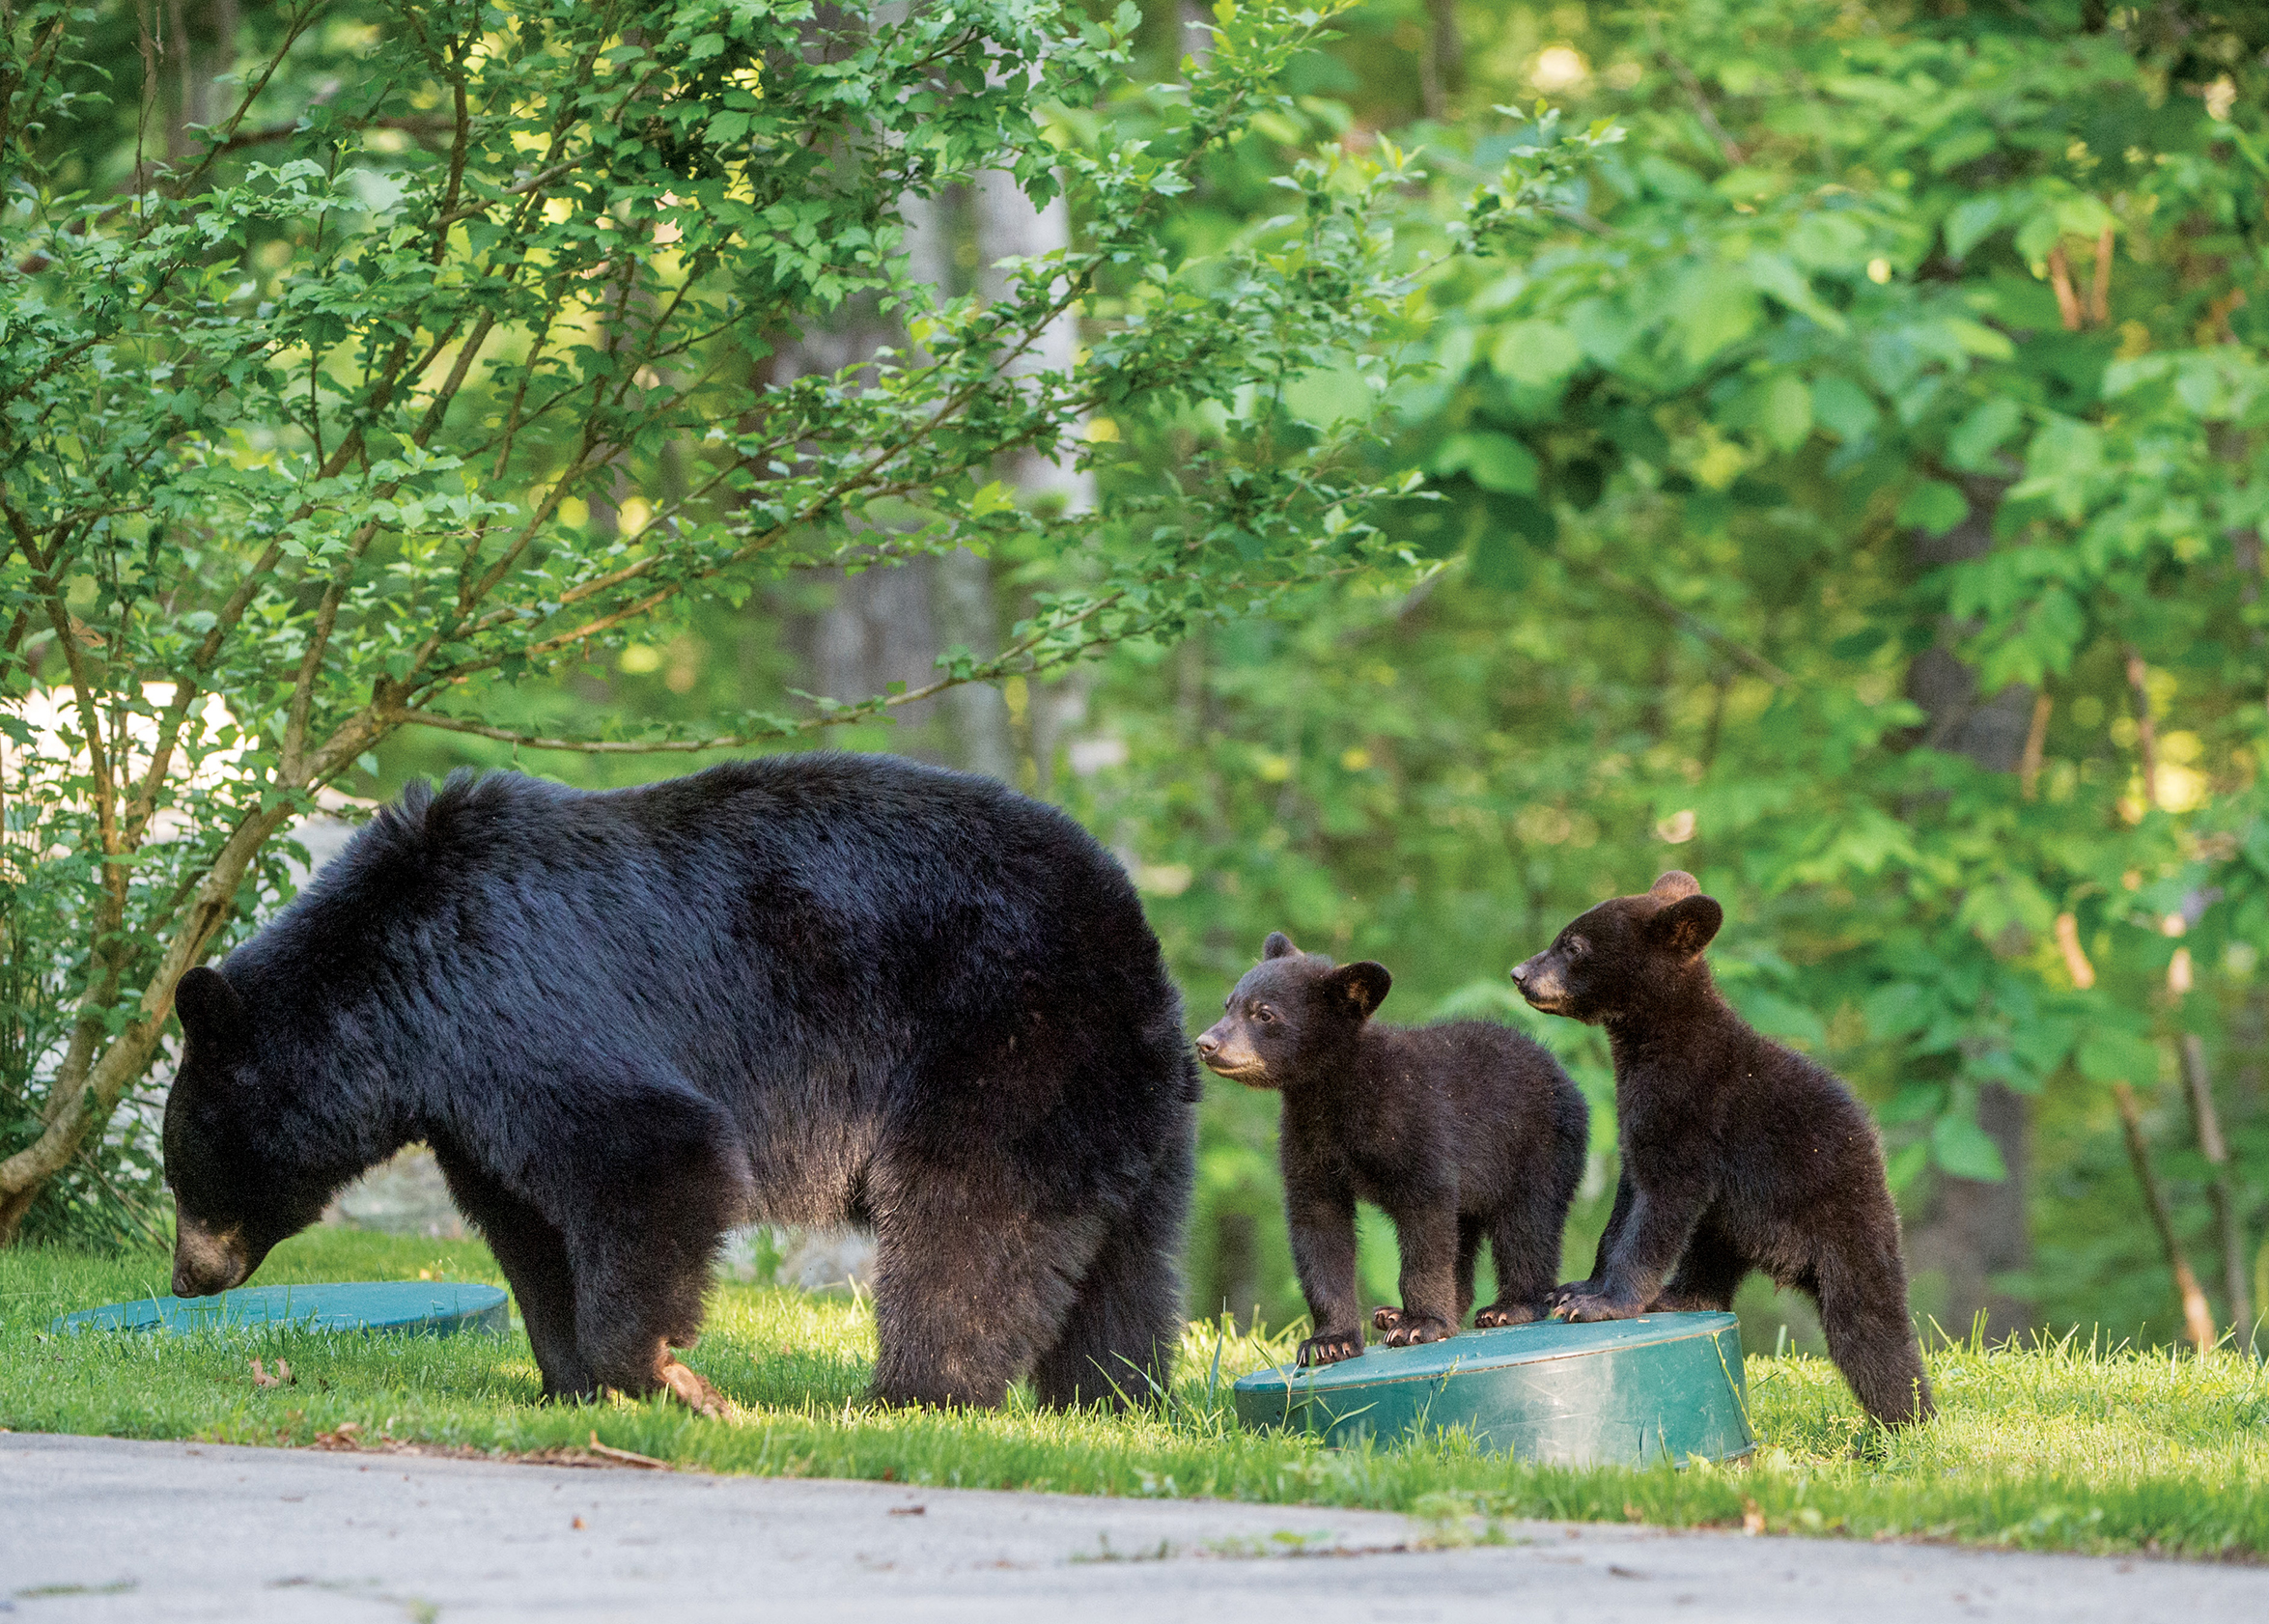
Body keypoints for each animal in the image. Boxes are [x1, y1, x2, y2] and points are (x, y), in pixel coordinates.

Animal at [165, 757, 1197, 1406]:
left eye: (185, 1172)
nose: (185, 1279)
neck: (395, 1005)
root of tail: (1134, 937)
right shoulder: (470, 1106)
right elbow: (528, 1223)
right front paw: (571, 1380)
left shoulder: (513, 994)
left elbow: (650, 1147)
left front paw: (660, 1372)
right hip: (1120, 1103)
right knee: (1121, 1262)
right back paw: (1111, 1396)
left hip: (1004, 1041)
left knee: (969, 1227)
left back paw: (918, 1393)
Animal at [1197, 934, 1587, 1360]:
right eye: (1229, 1004)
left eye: (1264, 1014)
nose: (1206, 1043)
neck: (1334, 1091)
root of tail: (1563, 1075)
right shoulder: (1307, 1142)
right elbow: (1319, 1232)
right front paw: (1329, 1341)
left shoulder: (1414, 1125)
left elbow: (1426, 1229)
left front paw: (1420, 1324)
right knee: (1466, 1235)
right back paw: (1407, 1312)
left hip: (1538, 1147)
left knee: (1527, 1225)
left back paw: (1510, 1306)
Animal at [1506, 871, 1933, 1424]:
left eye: (1572, 945)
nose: (1518, 974)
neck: (1657, 1043)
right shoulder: (1637, 1132)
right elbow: (1623, 1211)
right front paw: (1578, 1287)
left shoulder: (1692, 1119)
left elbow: (1660, 1213)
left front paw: (1603, 1304)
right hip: (1736, 1222)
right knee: (1711, 1262)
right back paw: (1677, 1297)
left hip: (1845, 1222)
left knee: (1867, 1327)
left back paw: (1906, 1422)